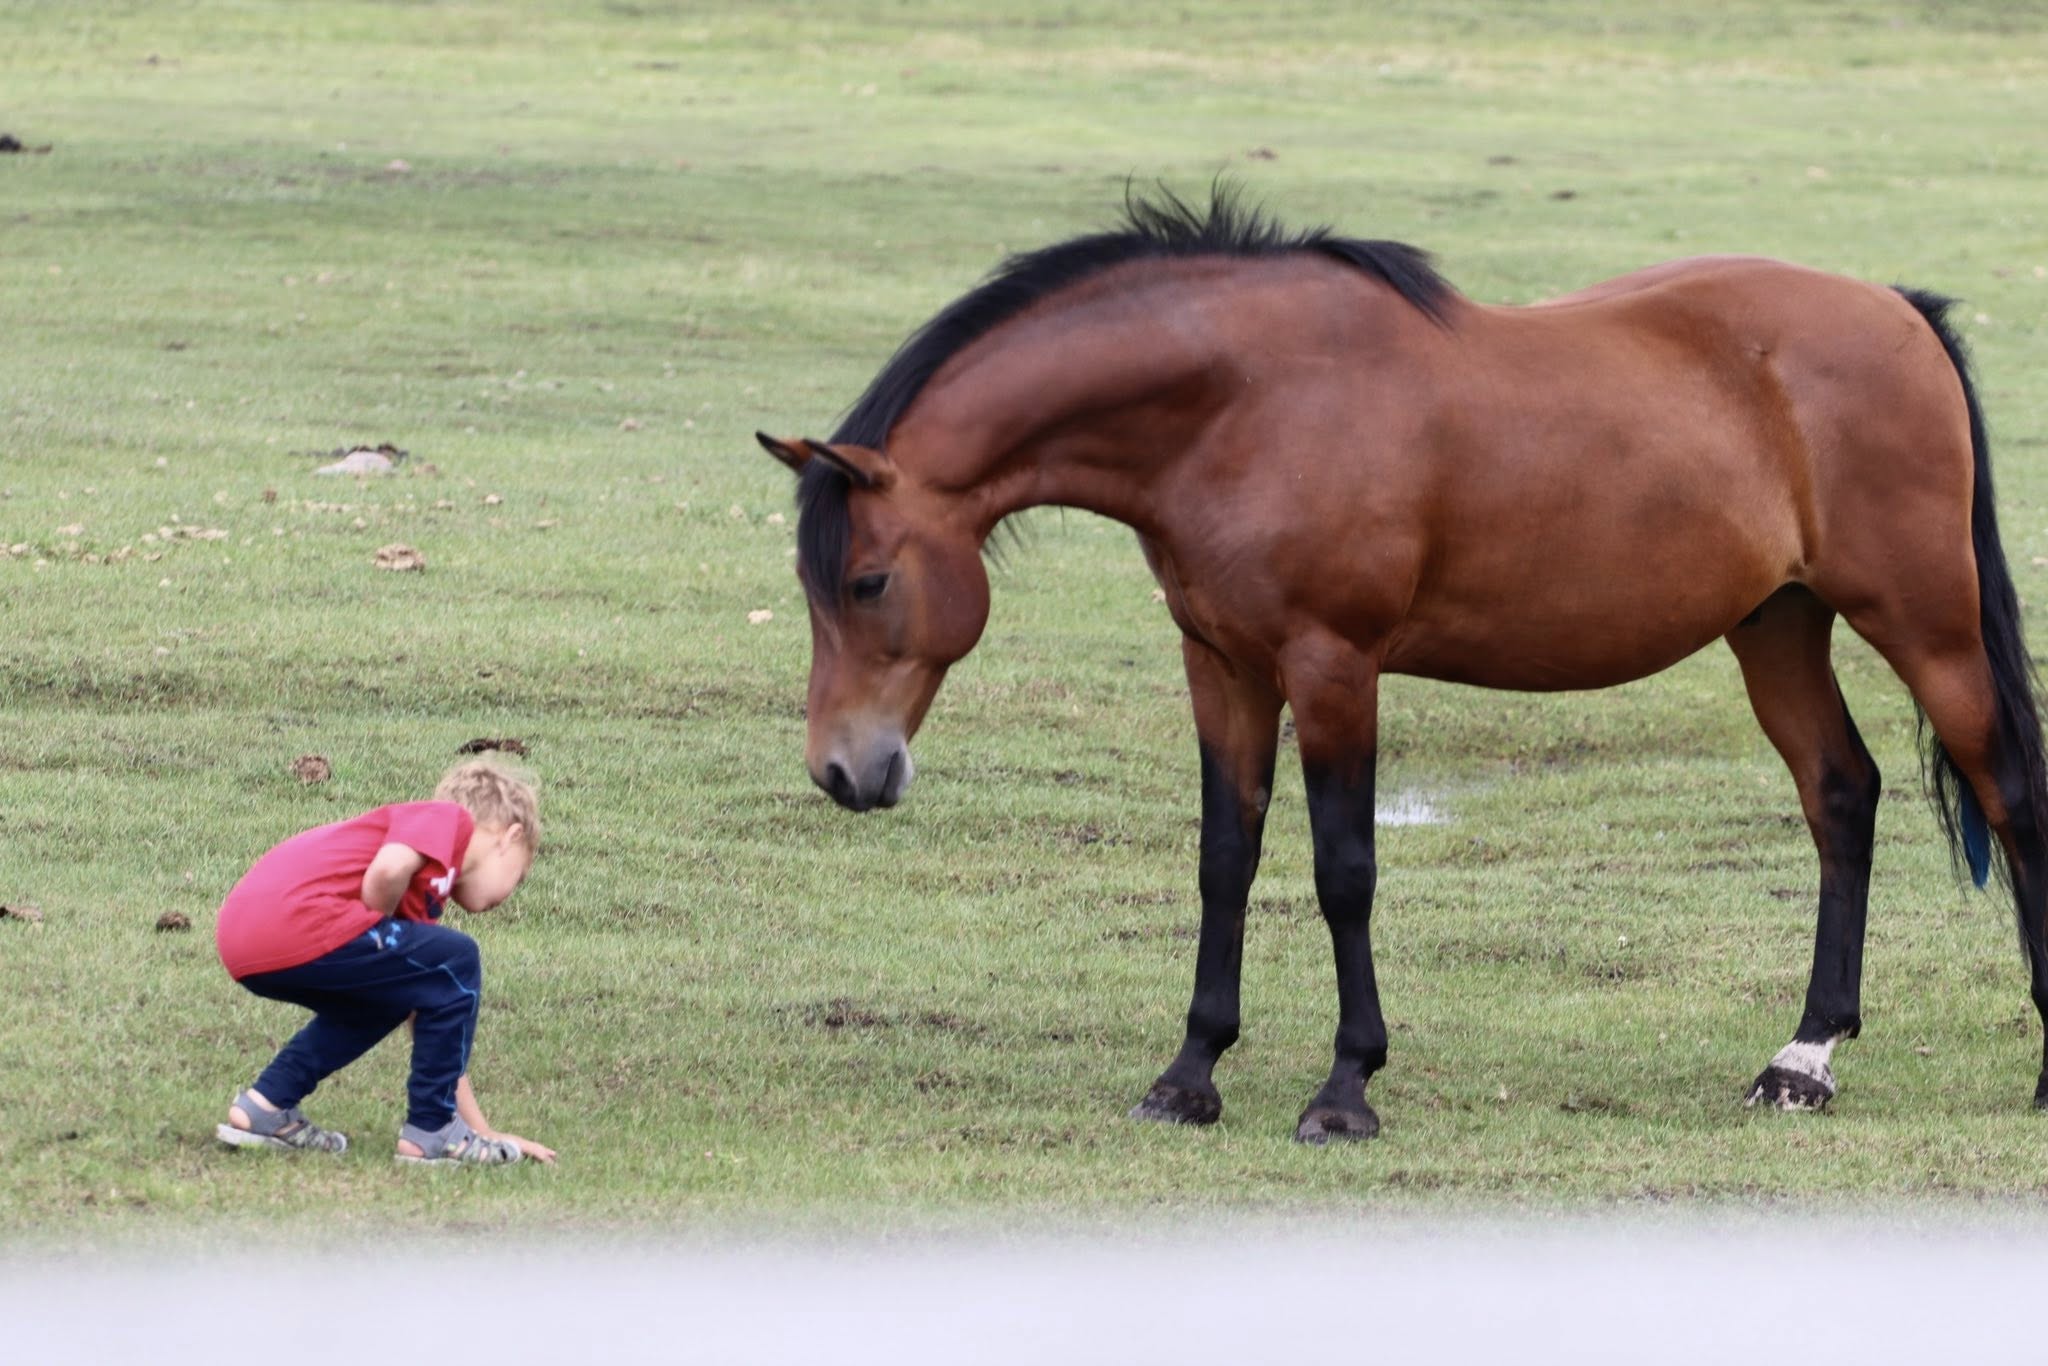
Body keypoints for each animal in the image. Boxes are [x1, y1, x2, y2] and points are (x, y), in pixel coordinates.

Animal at [755, 187, 2047, 1143]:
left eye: (865, 582)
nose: (842, 770)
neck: (1243, 402)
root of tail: (1897, 310)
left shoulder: (1333, 667)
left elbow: (1343, 869)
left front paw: (1344, 1088)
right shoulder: (1221, 665)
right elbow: (1224, 860)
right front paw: (1189, 1074)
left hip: (1922, 625)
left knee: (2007, 797)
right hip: (1774, 624)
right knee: (1840, 794)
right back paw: (1801, 1058)